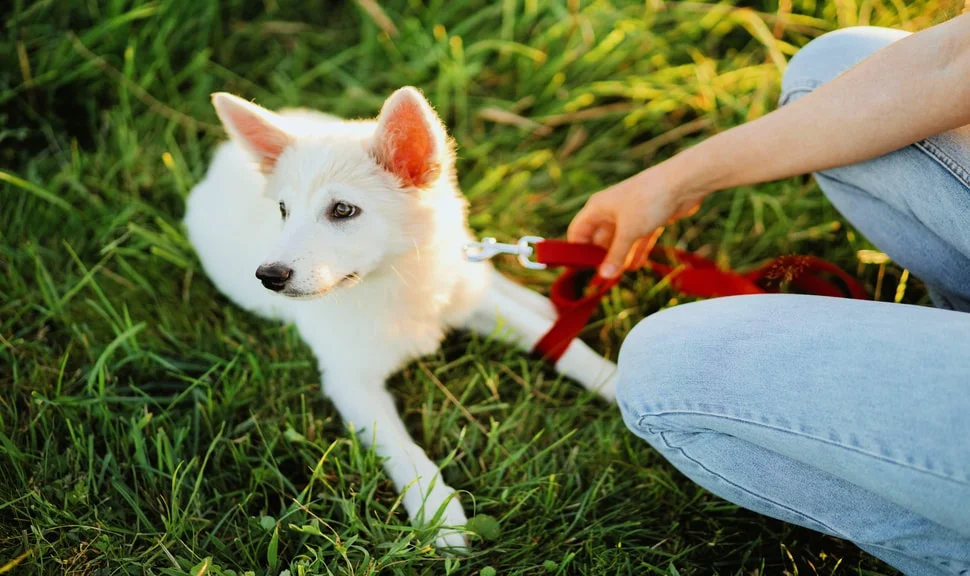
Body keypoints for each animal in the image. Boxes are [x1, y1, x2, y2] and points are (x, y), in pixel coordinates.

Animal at [183, 85, 612, 548]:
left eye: (343, 210)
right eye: (283, 209)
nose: (268, 276)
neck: (395, 283)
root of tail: (223, 156)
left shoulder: (472, 306)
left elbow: (565, 344)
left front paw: (618, 381)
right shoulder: (350, 380)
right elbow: (405, 449)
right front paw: (438, 512)